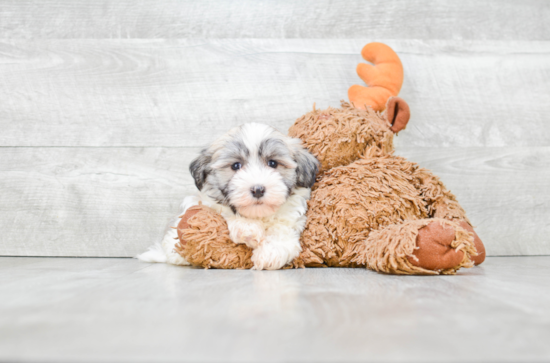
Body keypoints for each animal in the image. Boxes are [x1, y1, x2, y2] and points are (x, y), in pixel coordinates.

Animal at [137, 124, 320, 270]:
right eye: (236, 166)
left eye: (273, 163)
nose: (258, 189)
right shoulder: (205, 202)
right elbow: (224, 212)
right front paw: (248, 228)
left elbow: (282, 230)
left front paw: (270, 253)